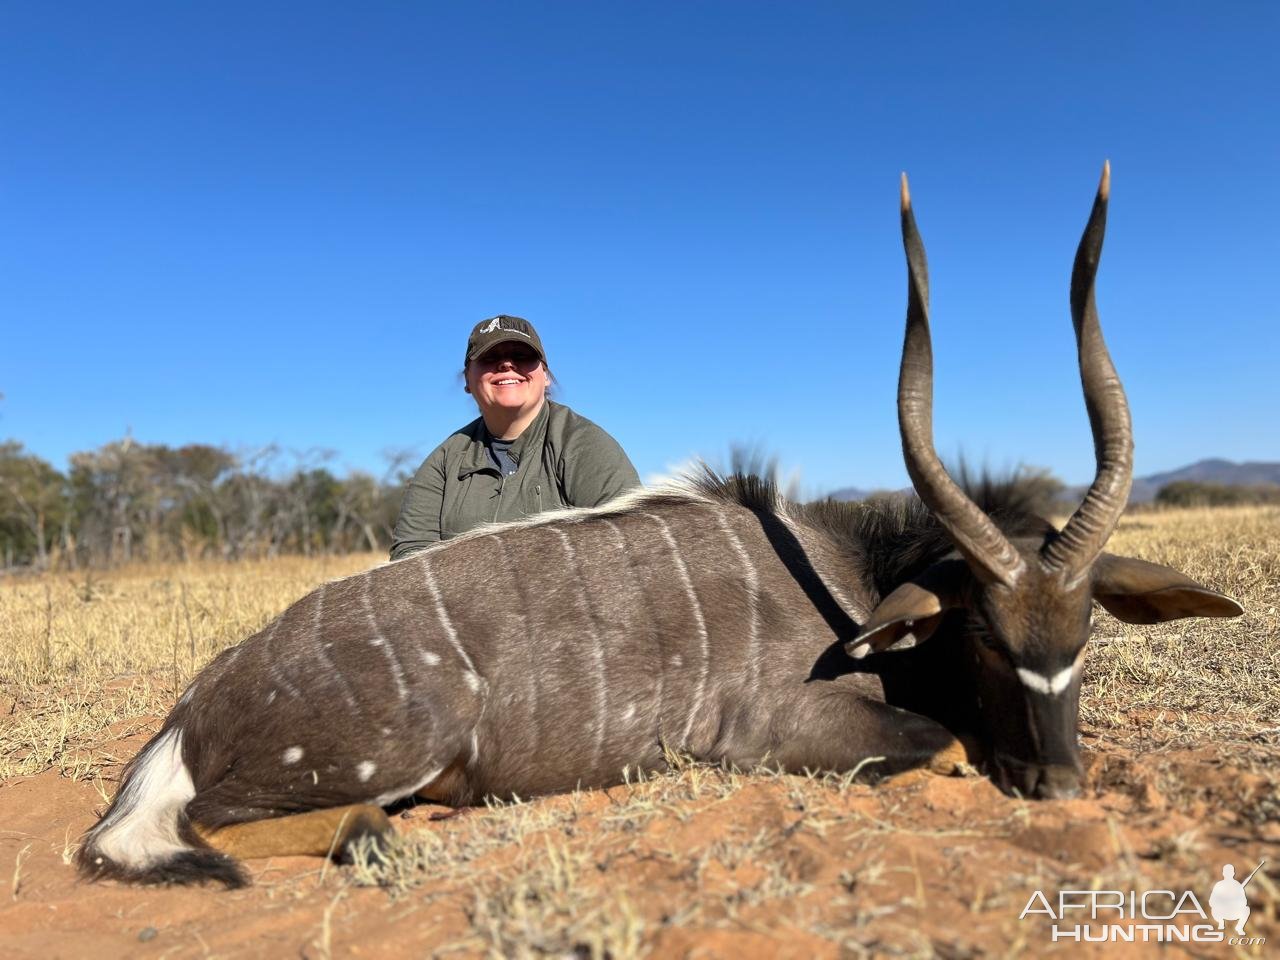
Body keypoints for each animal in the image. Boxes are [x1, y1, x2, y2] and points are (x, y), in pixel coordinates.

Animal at [77, 163, 1239, 885]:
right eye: (988, 641)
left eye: (1082, 640)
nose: (1060, 785)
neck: (849, 582)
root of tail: (192, 711)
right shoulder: (779, 734)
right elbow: (945, 744)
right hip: (390, 750)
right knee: (216, 823)